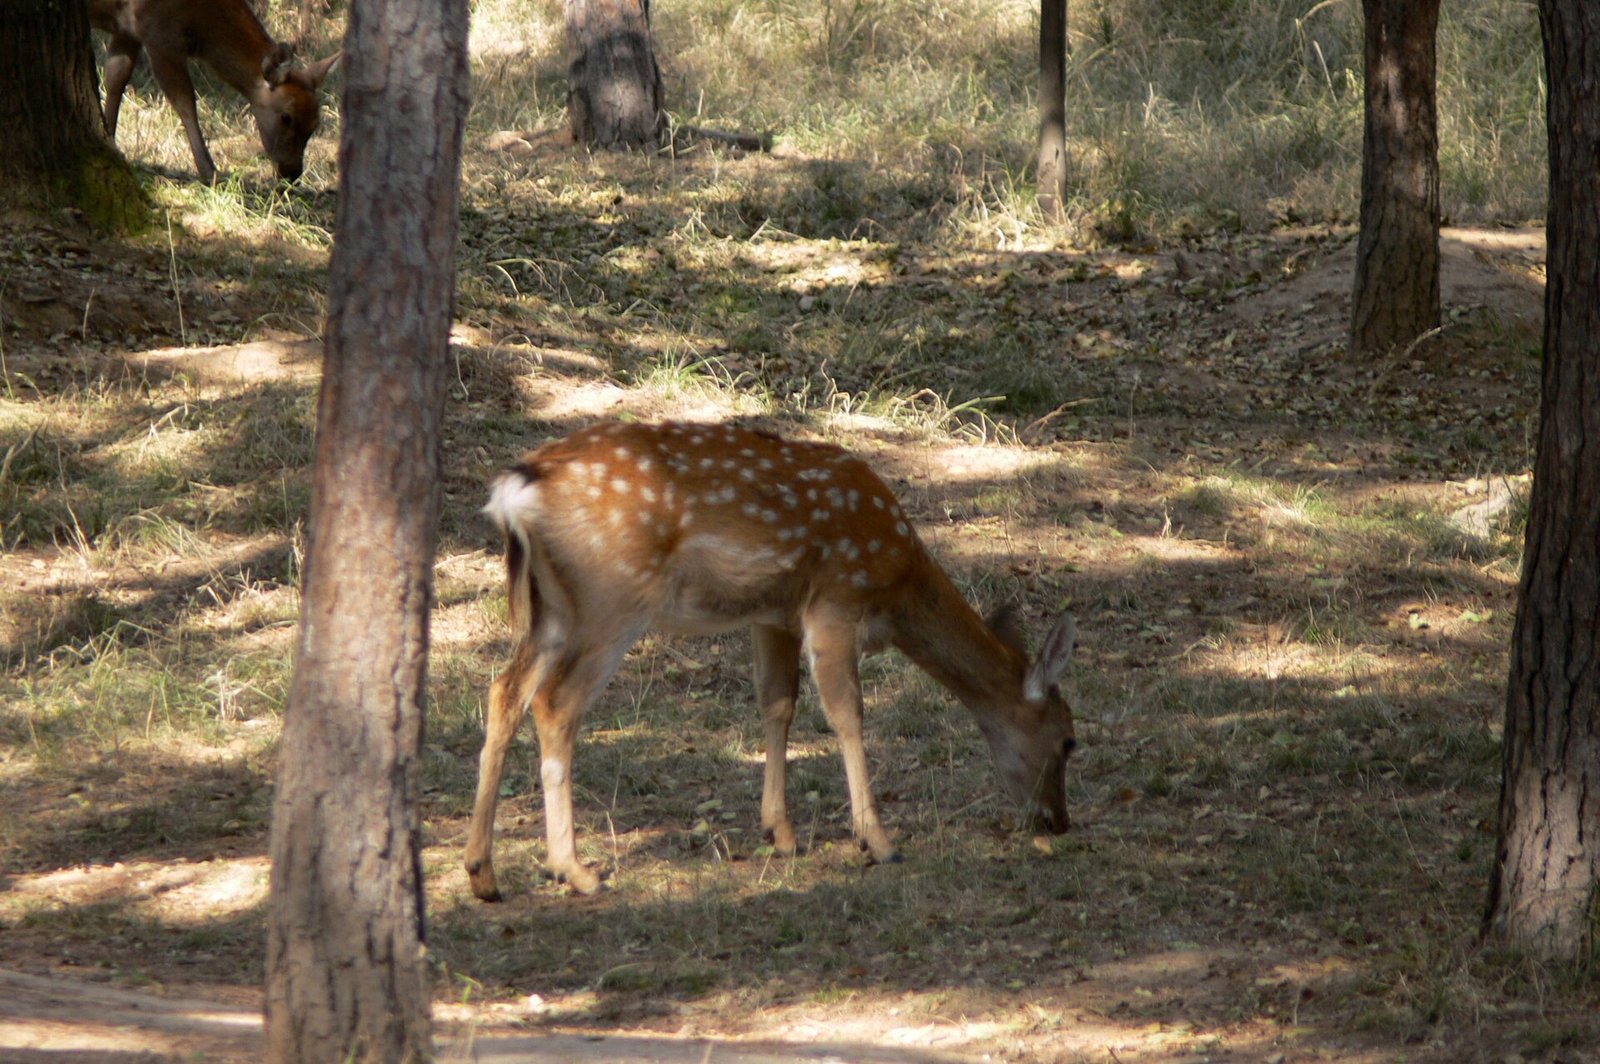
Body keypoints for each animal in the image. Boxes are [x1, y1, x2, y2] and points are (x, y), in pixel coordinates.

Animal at [89, 0, 340, 183]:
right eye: (286, 117)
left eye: (315, 124)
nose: (292, 172)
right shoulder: (157, 35)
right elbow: (184, 100)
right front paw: (209, 170)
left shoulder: (127, 29)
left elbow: (116, 78)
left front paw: (110, 140)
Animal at [464, 420, 1080, 899]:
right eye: (1070, 740)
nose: (1060, 820)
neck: (898, 583)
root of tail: (517, 490)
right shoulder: (836, 597)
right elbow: (846, 712)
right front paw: (877, 841)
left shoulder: (773, 613)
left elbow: (777, 702)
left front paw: (779, 833)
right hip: (612, 598)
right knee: (554, 704)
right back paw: (575, 870)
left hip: (550, 609)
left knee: (503, 690)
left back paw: (483, 873)